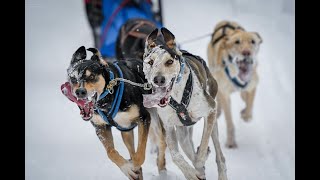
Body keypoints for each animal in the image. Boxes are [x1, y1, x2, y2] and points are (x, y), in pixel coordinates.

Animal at [208, 20, 262, 148]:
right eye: (237, 42)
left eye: (252, 41)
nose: (246, 52)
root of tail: (225, 21)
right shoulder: (225, 94)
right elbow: (229, 121)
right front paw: (231, 142)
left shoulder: (252, 85)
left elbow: (250, 103)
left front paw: (246, 115)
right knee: (219, 98)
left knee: (243, 96)